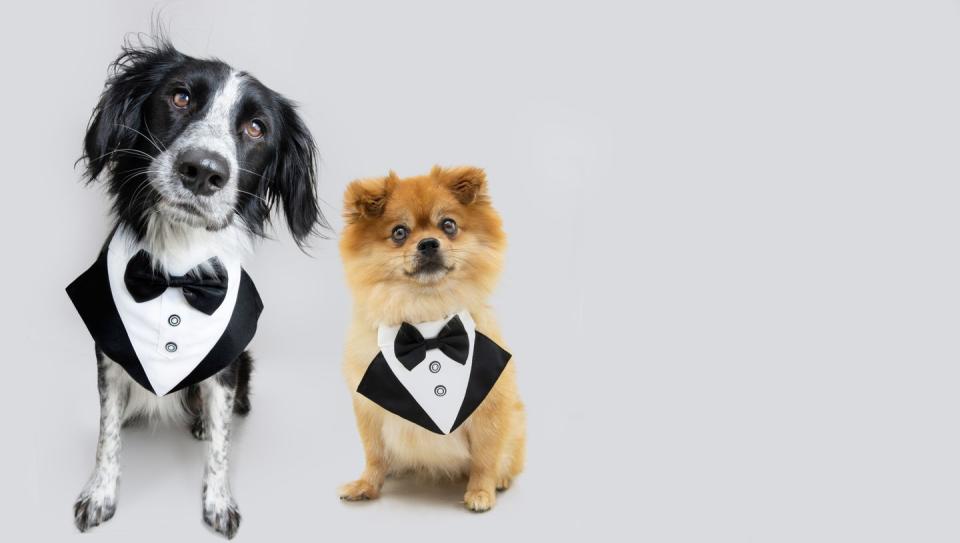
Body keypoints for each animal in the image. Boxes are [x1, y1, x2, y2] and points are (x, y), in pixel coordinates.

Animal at [71, 38, 324, 540]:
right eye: (181, 96)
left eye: (256, 127)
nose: (203, 171)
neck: (176, 271)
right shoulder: (107, 354)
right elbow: (107, 434)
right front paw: (100, 494)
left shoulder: (225, 364)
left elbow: (222, 447)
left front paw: (218, 503)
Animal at [340, 167, 524, 516]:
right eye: (399, 232)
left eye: (448, 225)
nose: (428, 243)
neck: (427, 325)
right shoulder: (368, 408)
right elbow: (374, 454)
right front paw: (367, 485)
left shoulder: (491, 406)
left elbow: (485, 457)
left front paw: (481, 491)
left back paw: (502, 479)